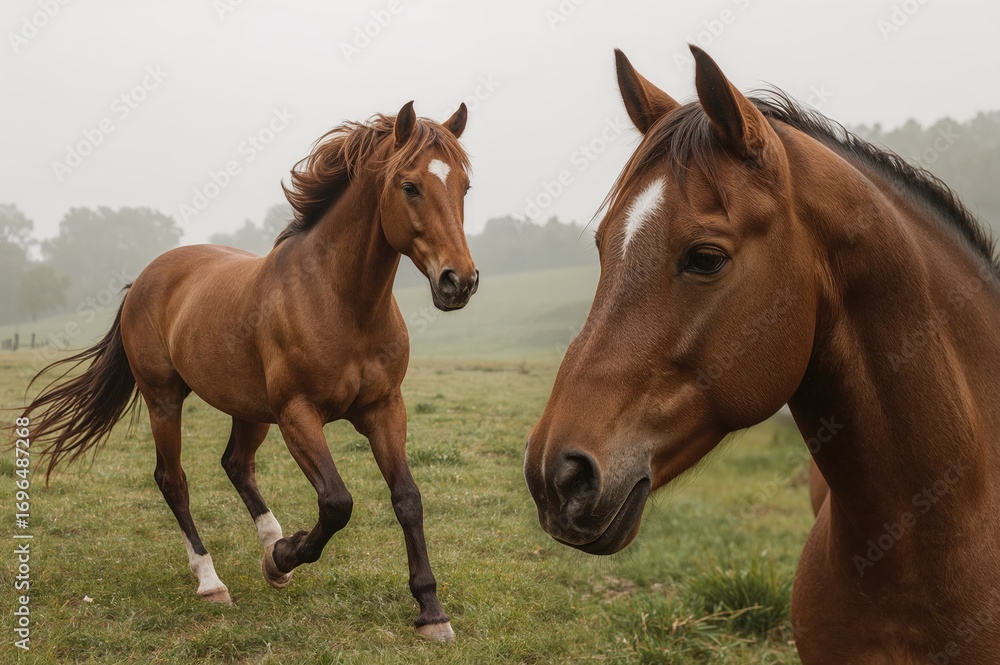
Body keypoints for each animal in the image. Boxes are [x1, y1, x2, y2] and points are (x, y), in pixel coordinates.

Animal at [22, 101, 477, 642]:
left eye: (464, 187)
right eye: (410, 186)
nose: (459, 282)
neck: (341, 302)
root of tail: (145, 278)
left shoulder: (385, 408)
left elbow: (407, 498)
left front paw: (431, 612)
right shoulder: (298, 414)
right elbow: (337, 502)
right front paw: (287, 554)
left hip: (250, 410)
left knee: (236, 464)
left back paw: (271, 549)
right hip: (164, 399)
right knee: (173, 480)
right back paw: (213, 581)